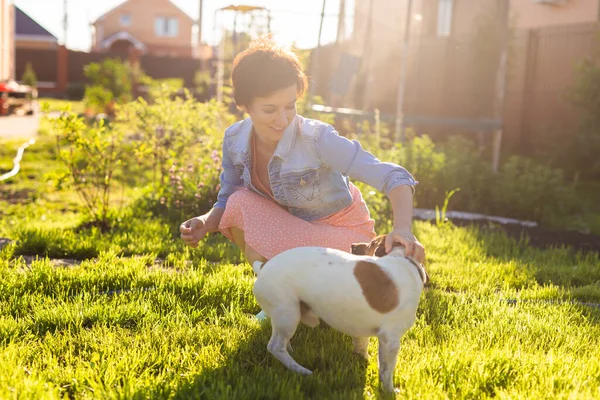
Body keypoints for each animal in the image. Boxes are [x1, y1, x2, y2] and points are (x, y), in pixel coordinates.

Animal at [251, 236, 428, 392]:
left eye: (371, 243)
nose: (353, 245)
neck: (404, 261)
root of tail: (263, 266)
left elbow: (362, 346)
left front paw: (363, 359)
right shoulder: (390, 341)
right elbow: (386, 371)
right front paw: (389, 391)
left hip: (289, 315)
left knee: (283, 341)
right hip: (287, 313)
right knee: (275, 347)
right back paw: (300, 370)